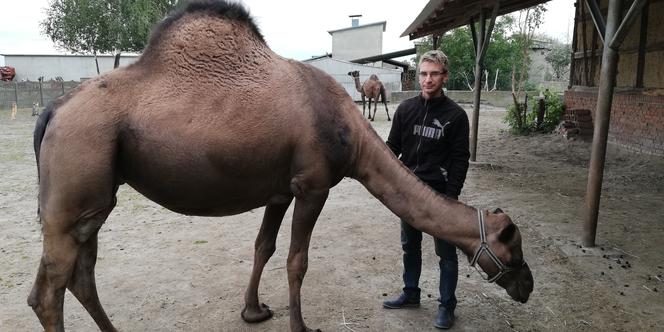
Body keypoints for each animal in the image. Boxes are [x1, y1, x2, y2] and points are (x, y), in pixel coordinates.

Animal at [28, 1, 536, 330]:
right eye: (512, 246)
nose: (528, 286)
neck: (351, 134)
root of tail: (52, 111)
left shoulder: (278, 189)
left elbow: (263, 247)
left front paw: (253, 312)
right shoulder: (313, 185)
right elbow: (297, 260)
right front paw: (301, 326)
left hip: (87, 204)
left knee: (73, 278)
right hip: (77, 185)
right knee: (52, 291)